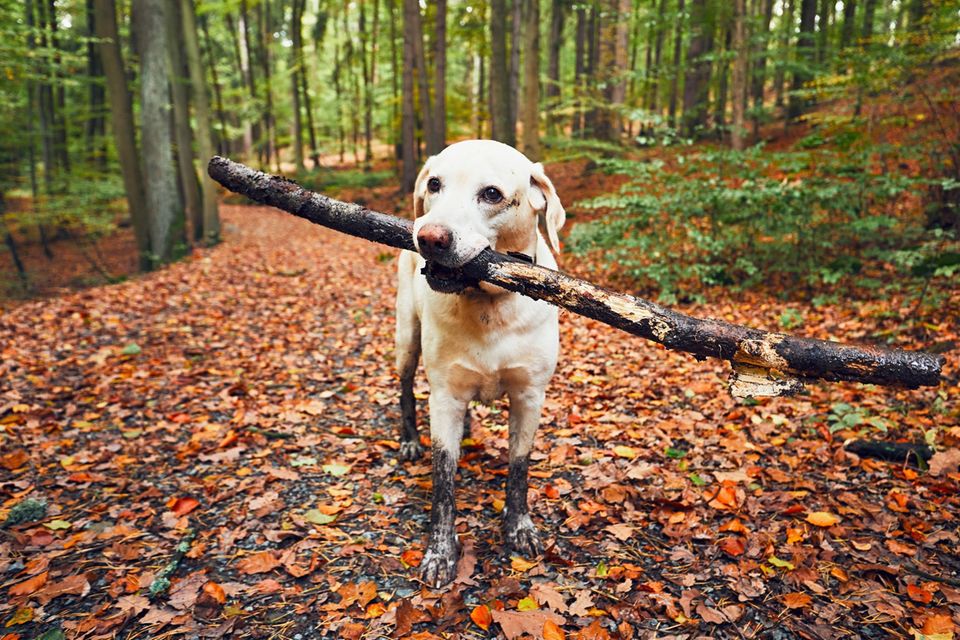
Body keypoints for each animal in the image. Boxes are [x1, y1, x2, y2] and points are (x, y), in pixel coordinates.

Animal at [394, 141, 568, 592]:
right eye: (434, 184)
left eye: (491, 194)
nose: (428, 237)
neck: (489, 303)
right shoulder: (445, 398)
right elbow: (443, 481)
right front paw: (440, 552)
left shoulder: (529, 396)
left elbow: (519, 469)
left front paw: (519, 527)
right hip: (406, 340)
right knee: (405, 388)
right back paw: (409, 440)